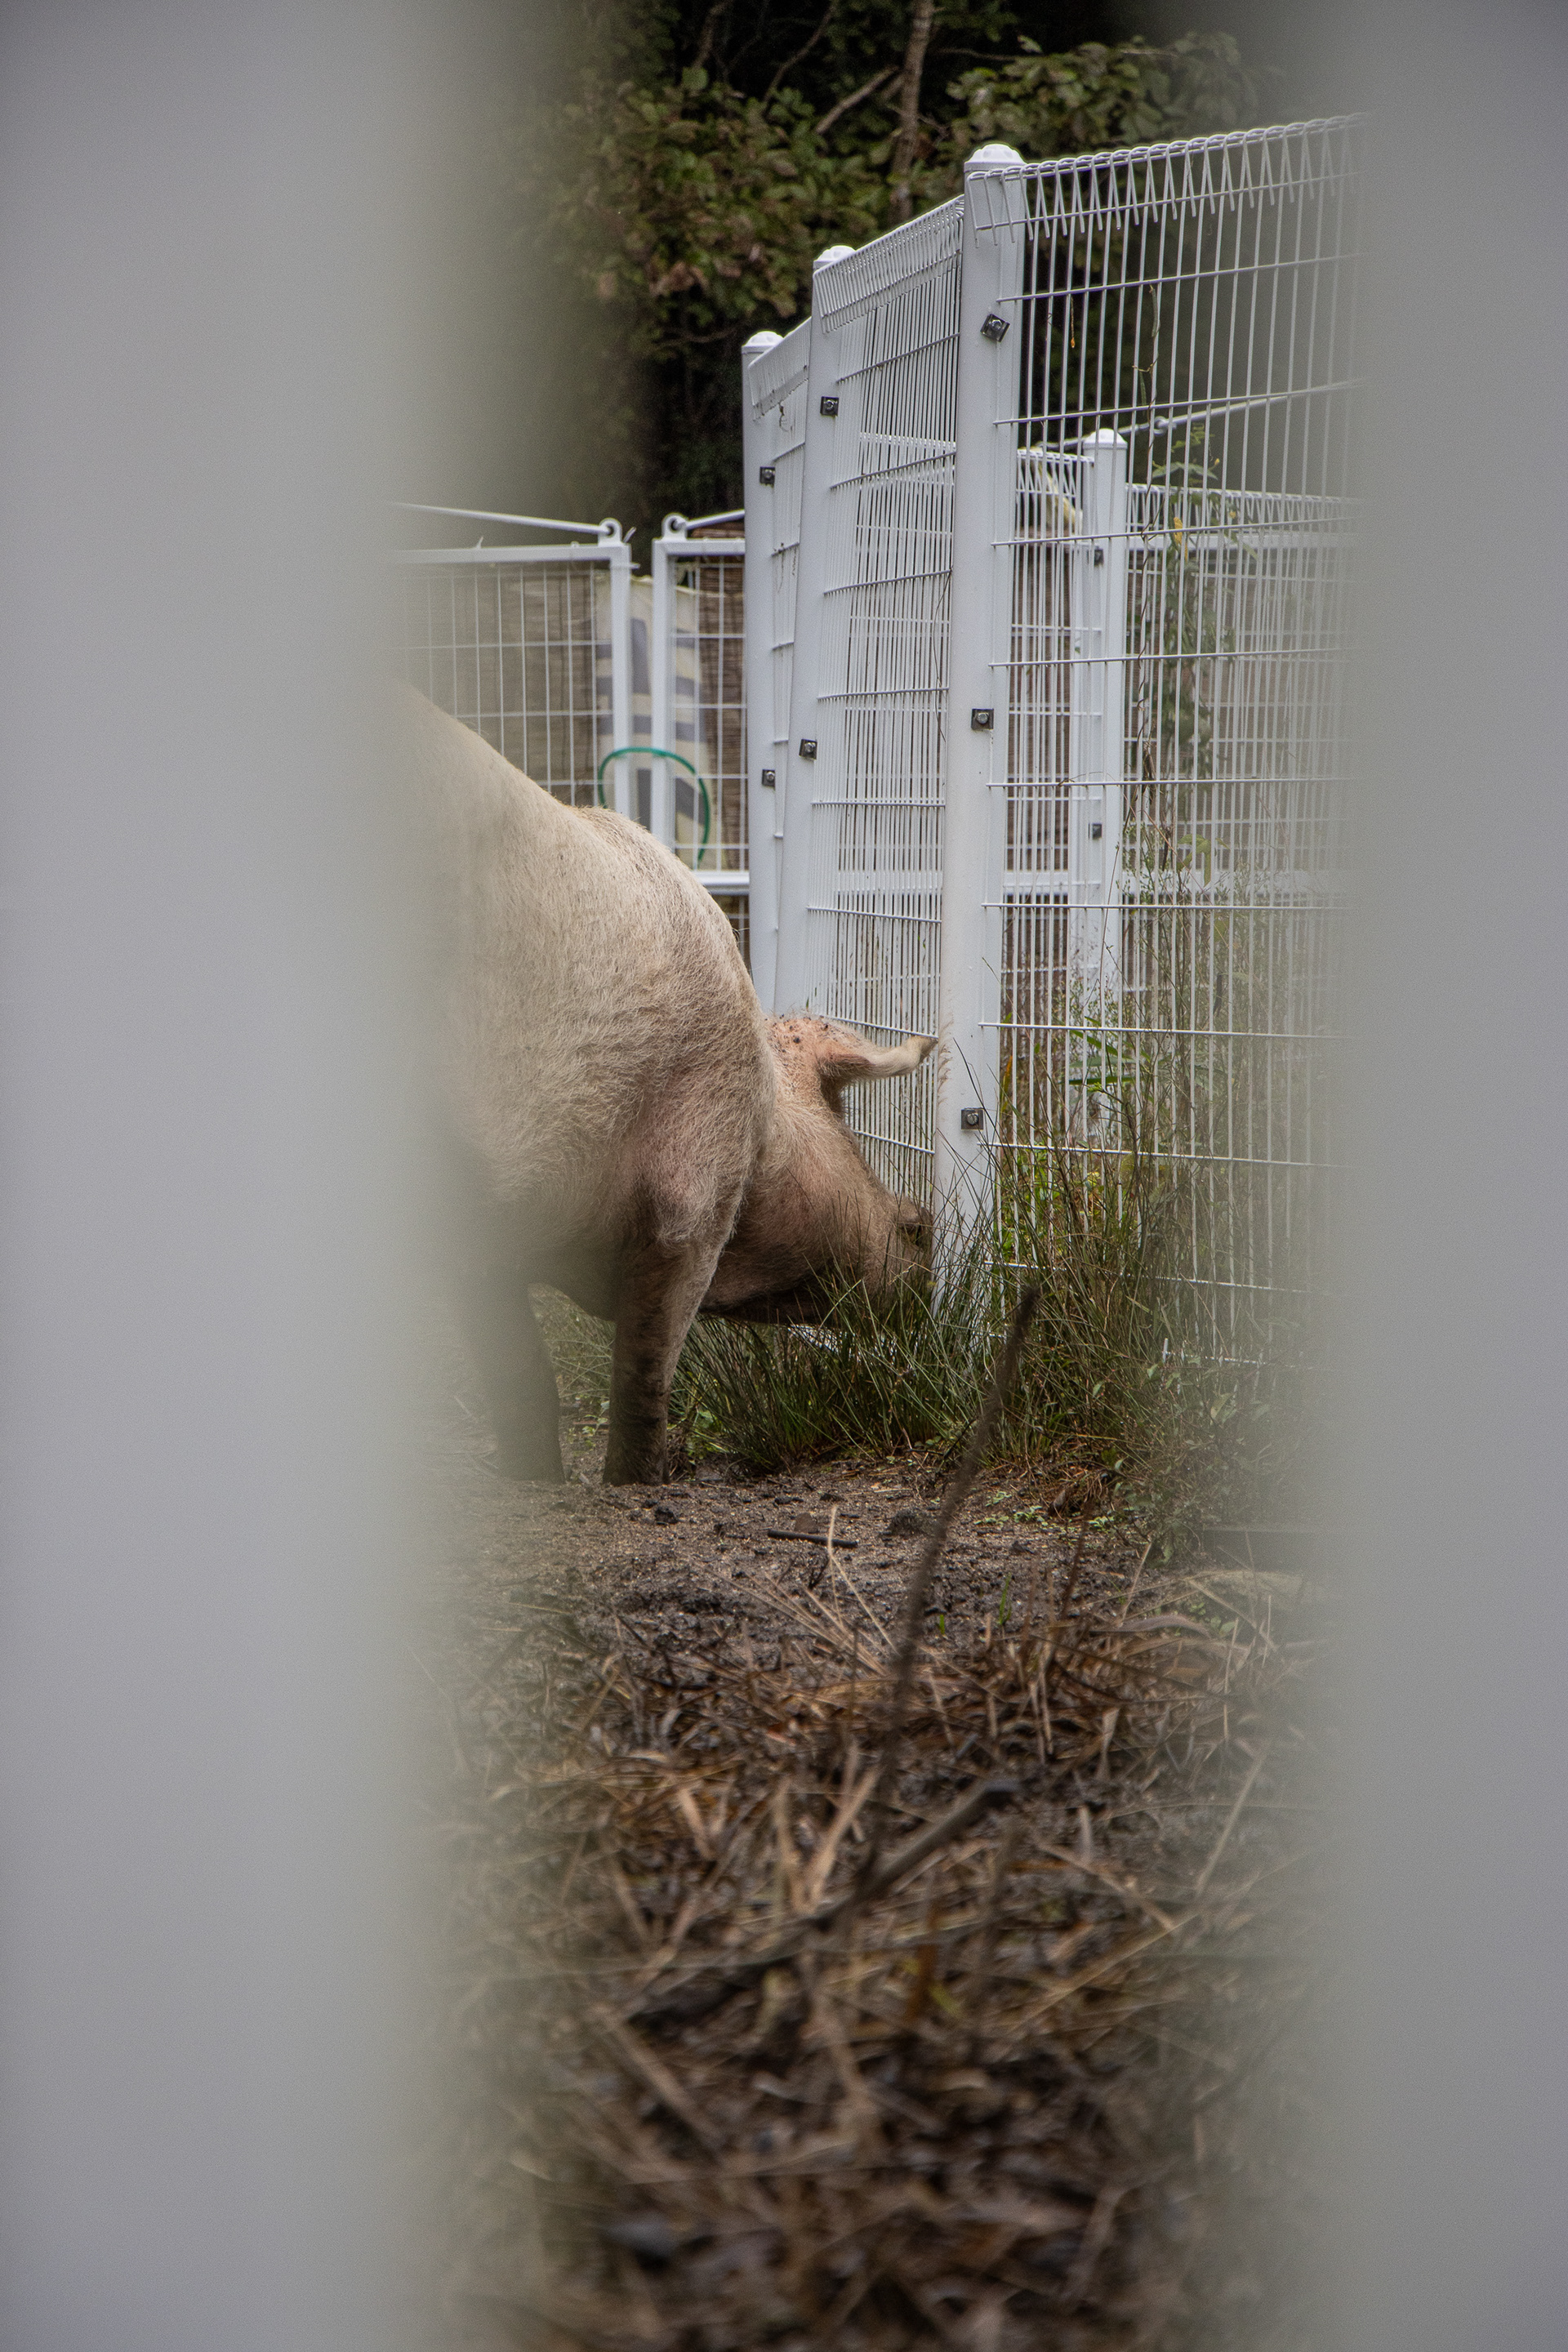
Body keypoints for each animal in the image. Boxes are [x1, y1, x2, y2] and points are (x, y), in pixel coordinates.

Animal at [403, 688, 932, 1483]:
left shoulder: (475, 1247)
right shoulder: (693, 1192)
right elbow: (645, 1370)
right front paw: (635, 1480)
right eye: (843, 1119)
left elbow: (521, 1375)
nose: (925, 1225)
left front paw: (536, 1482)